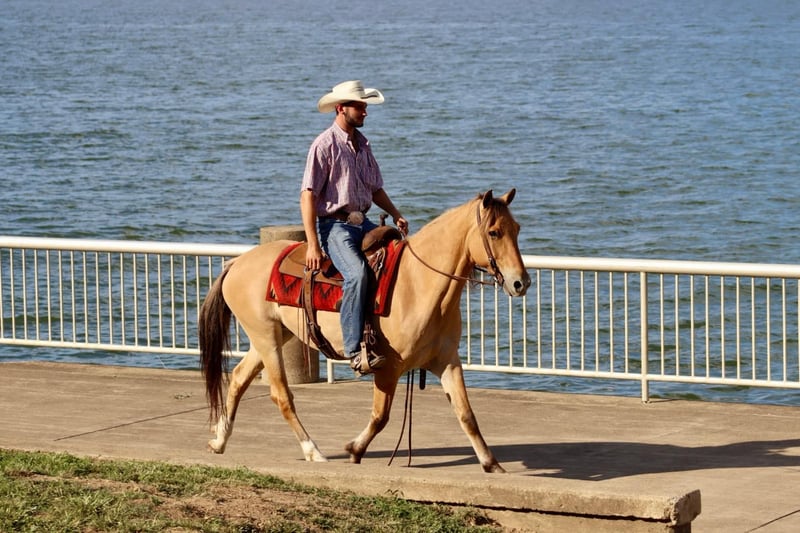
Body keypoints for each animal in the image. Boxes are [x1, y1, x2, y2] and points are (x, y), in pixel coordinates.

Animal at [199, 189, 531, 473]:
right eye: (494, 232)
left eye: (516, 228)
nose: (521, 283)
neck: (418, 282)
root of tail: (236, 263)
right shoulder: (388, 367)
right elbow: (380, 416)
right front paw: (355, 449)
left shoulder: (446, 361)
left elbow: (466, 415)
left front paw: (491, 463)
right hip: (266, 338)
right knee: (281, 395)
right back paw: (312, 451)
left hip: (273, 337)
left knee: (238, 378)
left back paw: (219, 440)